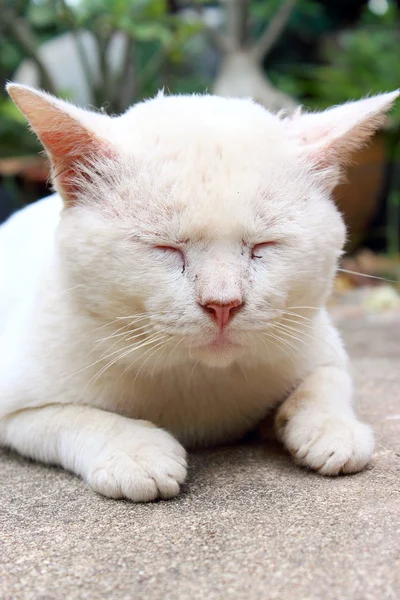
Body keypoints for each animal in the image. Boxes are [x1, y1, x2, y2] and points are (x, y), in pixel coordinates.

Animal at [0, 84, 396, 502]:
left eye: (263, 246)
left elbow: (325, 382)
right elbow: (77, 417)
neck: (198, 377)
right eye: (165, 248)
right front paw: (135, 450)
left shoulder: (318, 342)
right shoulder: (18, 408)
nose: (223, 304)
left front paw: (331, 428)